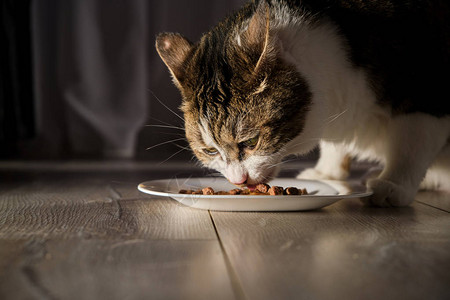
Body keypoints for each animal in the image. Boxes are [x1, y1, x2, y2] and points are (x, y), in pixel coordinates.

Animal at [156, 0, 450, 206]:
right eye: (210, 151)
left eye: (251, 142)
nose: (238, 180)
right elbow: (336, 145)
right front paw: (327, 172)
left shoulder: (426, 95)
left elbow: (412, 144)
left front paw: (393, 183)